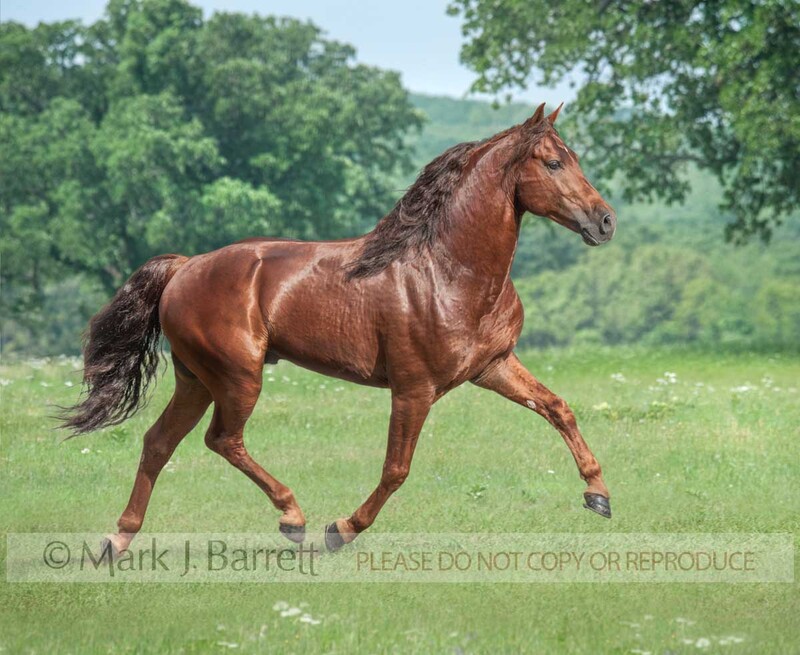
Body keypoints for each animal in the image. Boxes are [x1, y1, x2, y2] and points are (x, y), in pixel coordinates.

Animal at [61, 102, 617, 554]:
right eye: (553, 162)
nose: (606, 221)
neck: (450, 272)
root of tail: (184, 267)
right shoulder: (414, 389)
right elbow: (396, 469)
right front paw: (341, 529)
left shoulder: (493, 367)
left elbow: (557, 408)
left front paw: (599, 496)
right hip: (237, 378)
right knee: (222, 440)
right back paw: (293, 518)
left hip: (196, 379)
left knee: (158, 442)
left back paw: (117, 541)